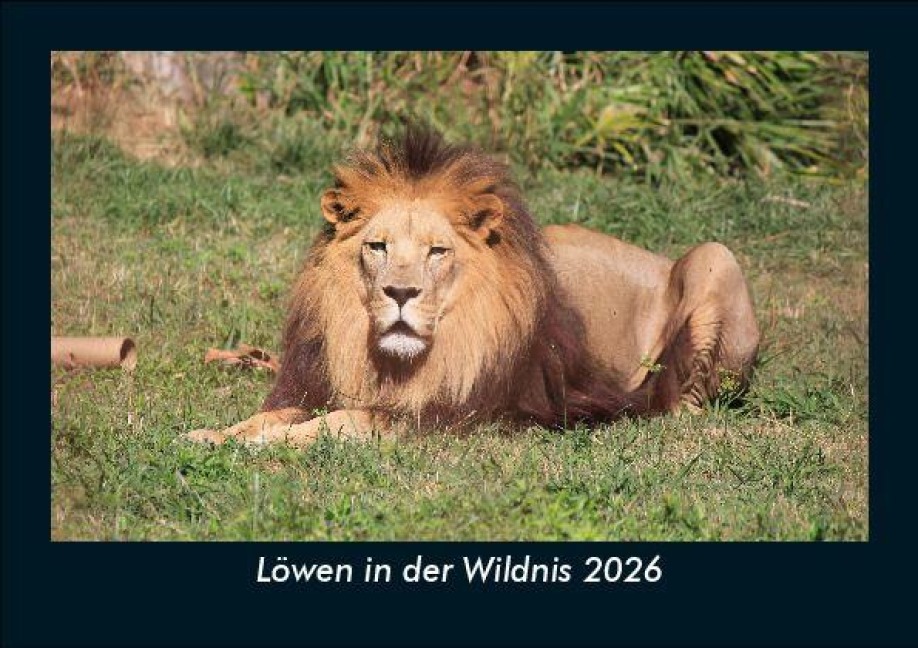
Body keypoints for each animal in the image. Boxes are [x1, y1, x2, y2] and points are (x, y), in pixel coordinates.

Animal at [186, 125, 760, 447]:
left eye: (438, 252)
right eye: (378, 247)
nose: (400, 294)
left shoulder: (461, 416)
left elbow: (347, 420)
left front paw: (274, 443)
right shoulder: (315, 382)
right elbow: (269, 414)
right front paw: (215, 434)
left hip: (716, 258)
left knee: (688, 398)